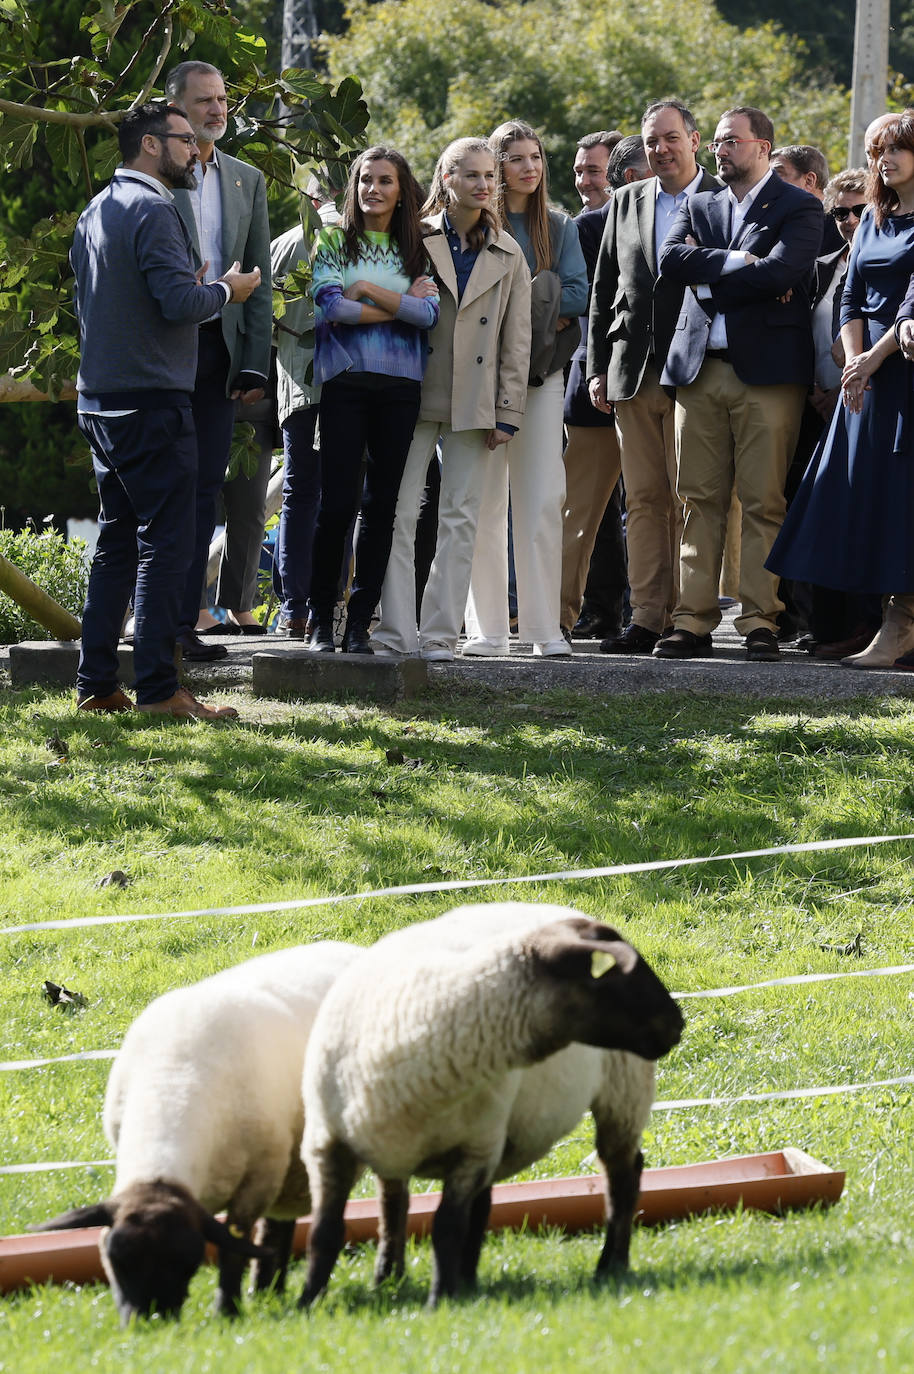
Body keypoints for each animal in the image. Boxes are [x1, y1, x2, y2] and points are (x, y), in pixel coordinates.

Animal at [32, 945, 360, 1319]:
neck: (173, 1085)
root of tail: (348, 947)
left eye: (186, 1264)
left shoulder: (258, 1179)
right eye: (117, 1261)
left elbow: (235, 1246)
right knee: (279, 1224)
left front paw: (226, 1311)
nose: (150, 1321)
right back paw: (266, 1290)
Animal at [295, 901, 681, 1308]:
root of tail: (554, 905)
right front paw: (308, 1303)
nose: (678, 1024)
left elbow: (446, 1226)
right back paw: (417, 1279)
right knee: (404, 1205)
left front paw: (439, 1301)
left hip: (622, 1091)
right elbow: (325, 1232)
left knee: (622, 1176)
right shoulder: (325, 1146)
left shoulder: (473, 1151)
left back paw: (611, 1266)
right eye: (622, 979)